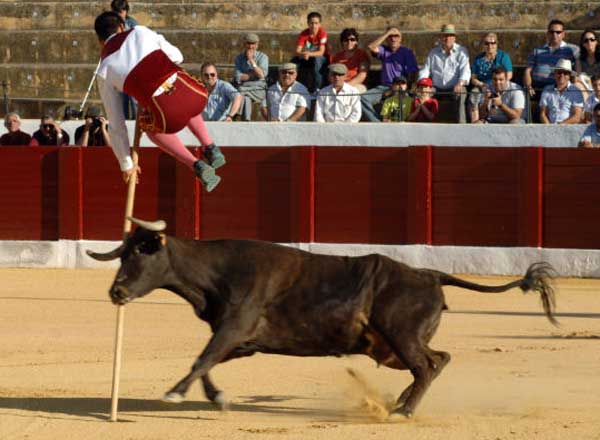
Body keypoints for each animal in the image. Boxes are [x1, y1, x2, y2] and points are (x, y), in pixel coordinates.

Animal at [86, 218, 556, 418]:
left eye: (142, 253)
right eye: (122, 254)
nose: (116, 292)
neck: (215, 274)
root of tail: (427, 273)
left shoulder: (234, 326)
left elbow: (201, 359)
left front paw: (173, 395)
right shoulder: (240, 340)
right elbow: (206, 364)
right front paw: (217, 398)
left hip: (400, 337)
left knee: (426, 366)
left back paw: (403, 411)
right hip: (391, 347)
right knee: (437, 360)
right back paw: (399, 403)